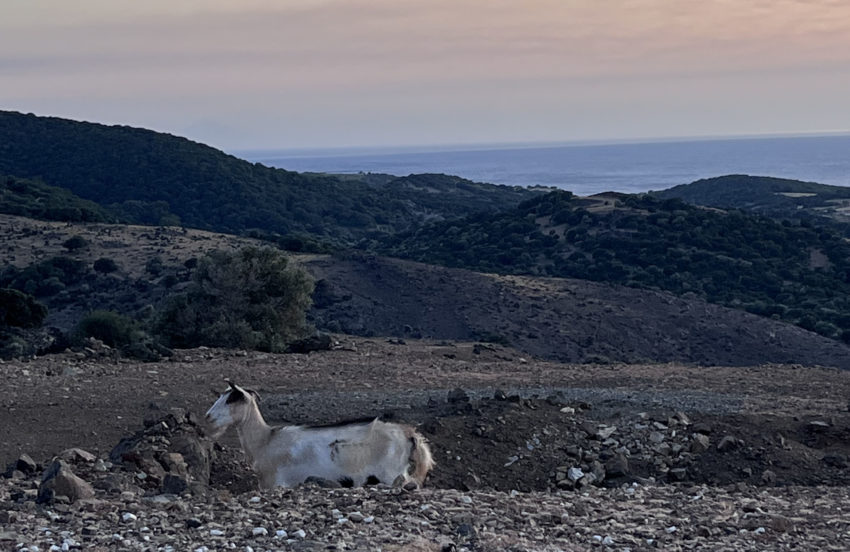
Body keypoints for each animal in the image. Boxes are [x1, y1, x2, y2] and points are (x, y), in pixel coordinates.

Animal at [203, 382, 434, 490]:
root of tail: (409, 433)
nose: (208, 418)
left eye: (232, 399)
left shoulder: (276, 482)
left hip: (391, 474)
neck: (265, 441)